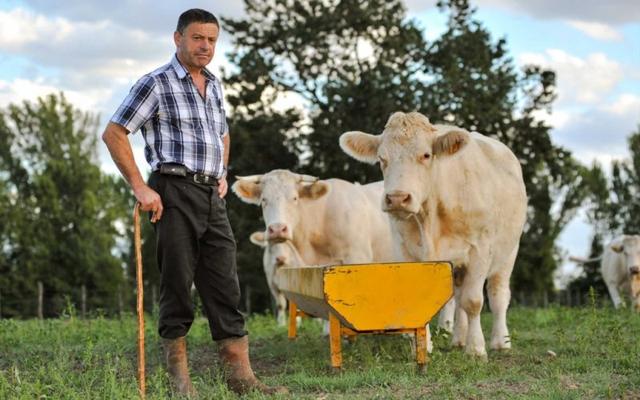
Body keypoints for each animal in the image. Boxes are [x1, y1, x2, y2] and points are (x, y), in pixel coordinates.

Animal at [342, 111, 528, 358]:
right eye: (382, 158)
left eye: (426, 155)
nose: (397, 198)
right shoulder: (404, 250)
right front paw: (421, 347)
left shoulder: (480, 249)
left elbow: (474, 301)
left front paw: (476, 349)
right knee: (459, 295)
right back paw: (458, 339)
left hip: (509, 251)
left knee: (498, 295)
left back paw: (500, 342)